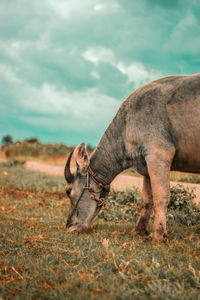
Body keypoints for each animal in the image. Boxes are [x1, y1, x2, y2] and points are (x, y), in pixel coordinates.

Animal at [64, 74, 200, 243]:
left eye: (68, 191)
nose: (69, 224)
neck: (127, 122)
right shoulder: (147, 167)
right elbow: (146, 201)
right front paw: (138, 230)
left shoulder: (158, 154)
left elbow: (161, 196)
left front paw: (158, 235)